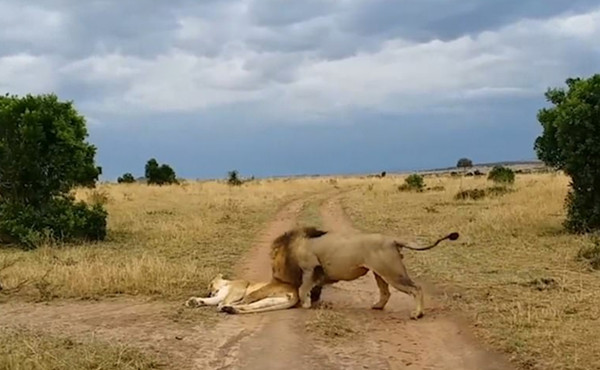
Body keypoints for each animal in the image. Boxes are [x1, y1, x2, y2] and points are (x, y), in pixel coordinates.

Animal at [268, 227, 460, 320]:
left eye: (272, 261)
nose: (274, 275)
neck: (293, 247)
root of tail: (392, 239)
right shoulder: (317, 273)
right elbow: (313, 289)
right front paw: (313, 301)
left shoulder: (310, 268)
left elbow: (302, 289)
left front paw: (306, 304)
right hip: (380, 273)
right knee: (386, 292)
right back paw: (377, 306)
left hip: (392, 272)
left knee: (416, 288)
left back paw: (417, 314)